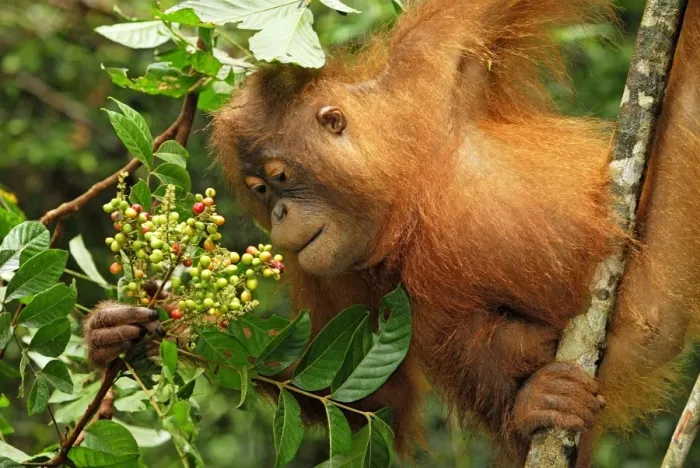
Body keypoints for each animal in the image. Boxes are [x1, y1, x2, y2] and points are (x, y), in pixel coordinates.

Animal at [84, 0, 700, 465]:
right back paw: (535, 408)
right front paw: (121, 330)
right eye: (258, 190)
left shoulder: (439, 47)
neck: (405, 179)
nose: (279, 215)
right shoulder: (328, 264)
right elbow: (371, 396)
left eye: (281, 178)